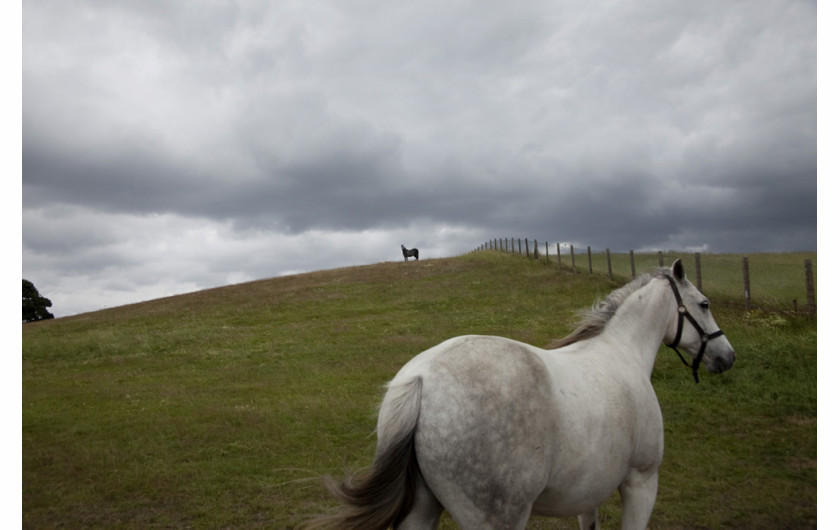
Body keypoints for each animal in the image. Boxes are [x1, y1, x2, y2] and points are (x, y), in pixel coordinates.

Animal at [310, 258, 736, 524]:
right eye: (704, 304)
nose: (727, 356)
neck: (621, 353)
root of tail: (421, 380)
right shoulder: (641, 482)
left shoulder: (590, 494)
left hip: (421, 510)